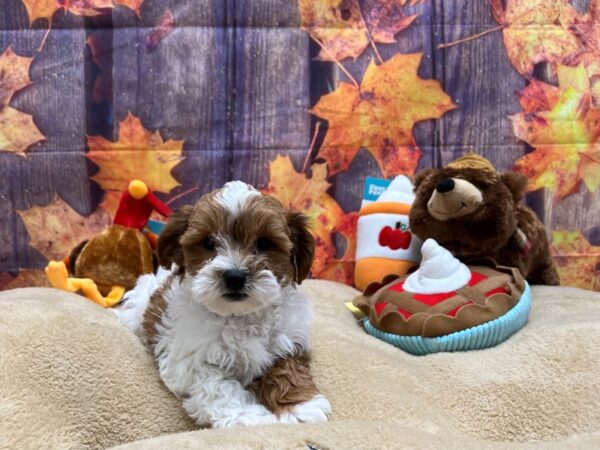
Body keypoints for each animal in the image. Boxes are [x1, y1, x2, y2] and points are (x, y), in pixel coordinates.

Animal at [115, 181, 330, 428]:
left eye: (263, 242)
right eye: (208, 242)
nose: (235, 276)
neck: (240, 316)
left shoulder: (288, 340)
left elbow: (288, 370)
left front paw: (299, 407)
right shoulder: (192, 364)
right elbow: (220, 391)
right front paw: (252, 418)